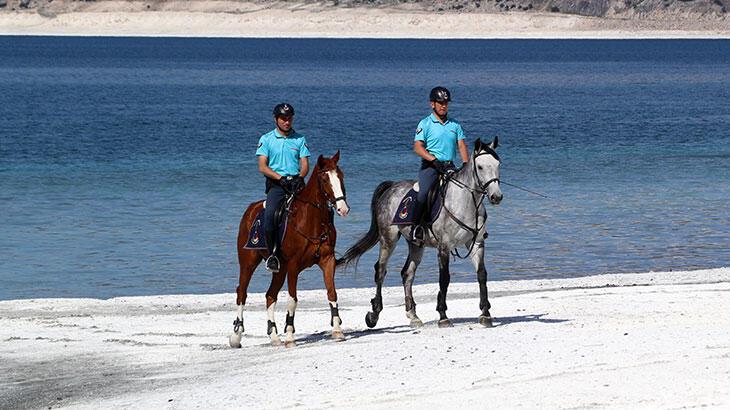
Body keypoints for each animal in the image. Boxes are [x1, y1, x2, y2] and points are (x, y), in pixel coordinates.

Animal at [230, 152, 350, 348]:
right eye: (325, 179)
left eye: (341, 176)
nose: (343, 209)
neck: (311, 220)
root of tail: (250, 210)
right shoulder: (294, 266)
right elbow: (292, 300)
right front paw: (289, 337)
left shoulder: (327, 261)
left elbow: (332, 293)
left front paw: (338, 330)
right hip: (248, 262)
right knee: (242, 293)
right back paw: (236, 336)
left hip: (280, 269)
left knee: (270, 296)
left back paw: (274, 337)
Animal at [336, 139, 500, 328]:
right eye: (480, 166)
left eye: (498, 164)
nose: (497, 197)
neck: (465, 202)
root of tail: (392, 186)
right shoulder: (444, 247)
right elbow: (444, 279)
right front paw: (443, 316)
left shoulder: (476, 243)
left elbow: (482, 275)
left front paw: (485, 313)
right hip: (388, 239)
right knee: (381, 270)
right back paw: (374, 314)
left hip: (415, 244)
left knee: (407, 274)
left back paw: (413, 315)